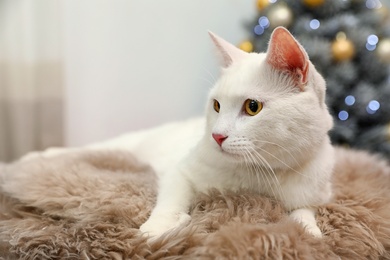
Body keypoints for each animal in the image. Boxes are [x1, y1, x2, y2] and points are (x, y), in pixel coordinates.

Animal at [21, 26, 334, 238]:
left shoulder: (314, 194)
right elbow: (171, 200)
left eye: (253, 107)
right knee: (89, 149)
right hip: (125, 146)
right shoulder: (181, 170)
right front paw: (157, 229)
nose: (217, 136)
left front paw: (310, 232)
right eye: (216, 105)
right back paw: (35, 156)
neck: (256, 177)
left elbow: (304, 213)